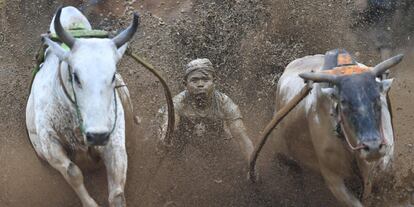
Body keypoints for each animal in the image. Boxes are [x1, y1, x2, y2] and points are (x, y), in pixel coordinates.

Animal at [25, 6, 139, 207]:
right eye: (76, 76)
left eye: (113, 75)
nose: (97, 135)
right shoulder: (49, 145)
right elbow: (73, 173)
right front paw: (90, 203)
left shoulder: (115, 140)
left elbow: (117, 193)